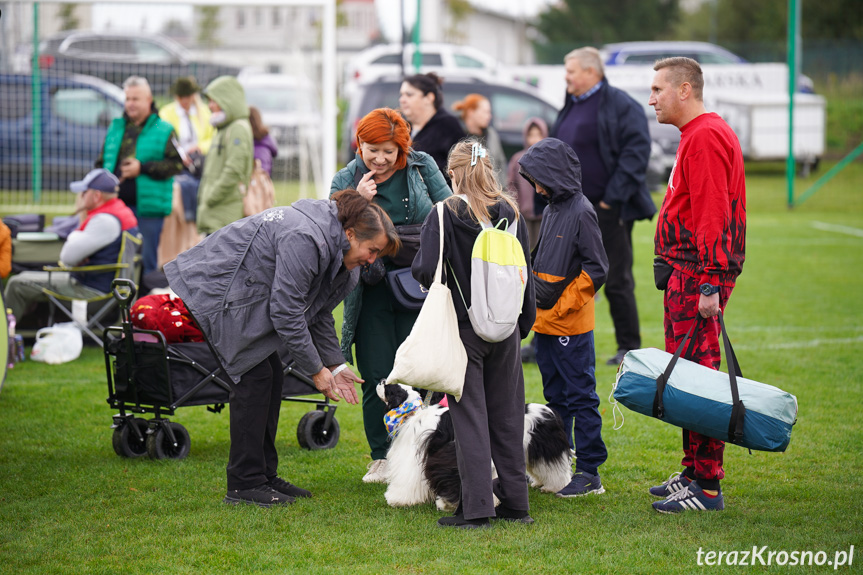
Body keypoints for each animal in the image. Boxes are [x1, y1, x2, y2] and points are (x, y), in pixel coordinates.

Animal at [376, 384, 572, 510]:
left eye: (388, 386)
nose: (380, 380)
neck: (410, 413)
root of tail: (551, 411)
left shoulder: (412, 458)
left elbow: (406, 481)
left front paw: (396, 500)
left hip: (546, 450)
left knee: (557, 471)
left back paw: (554, 487)